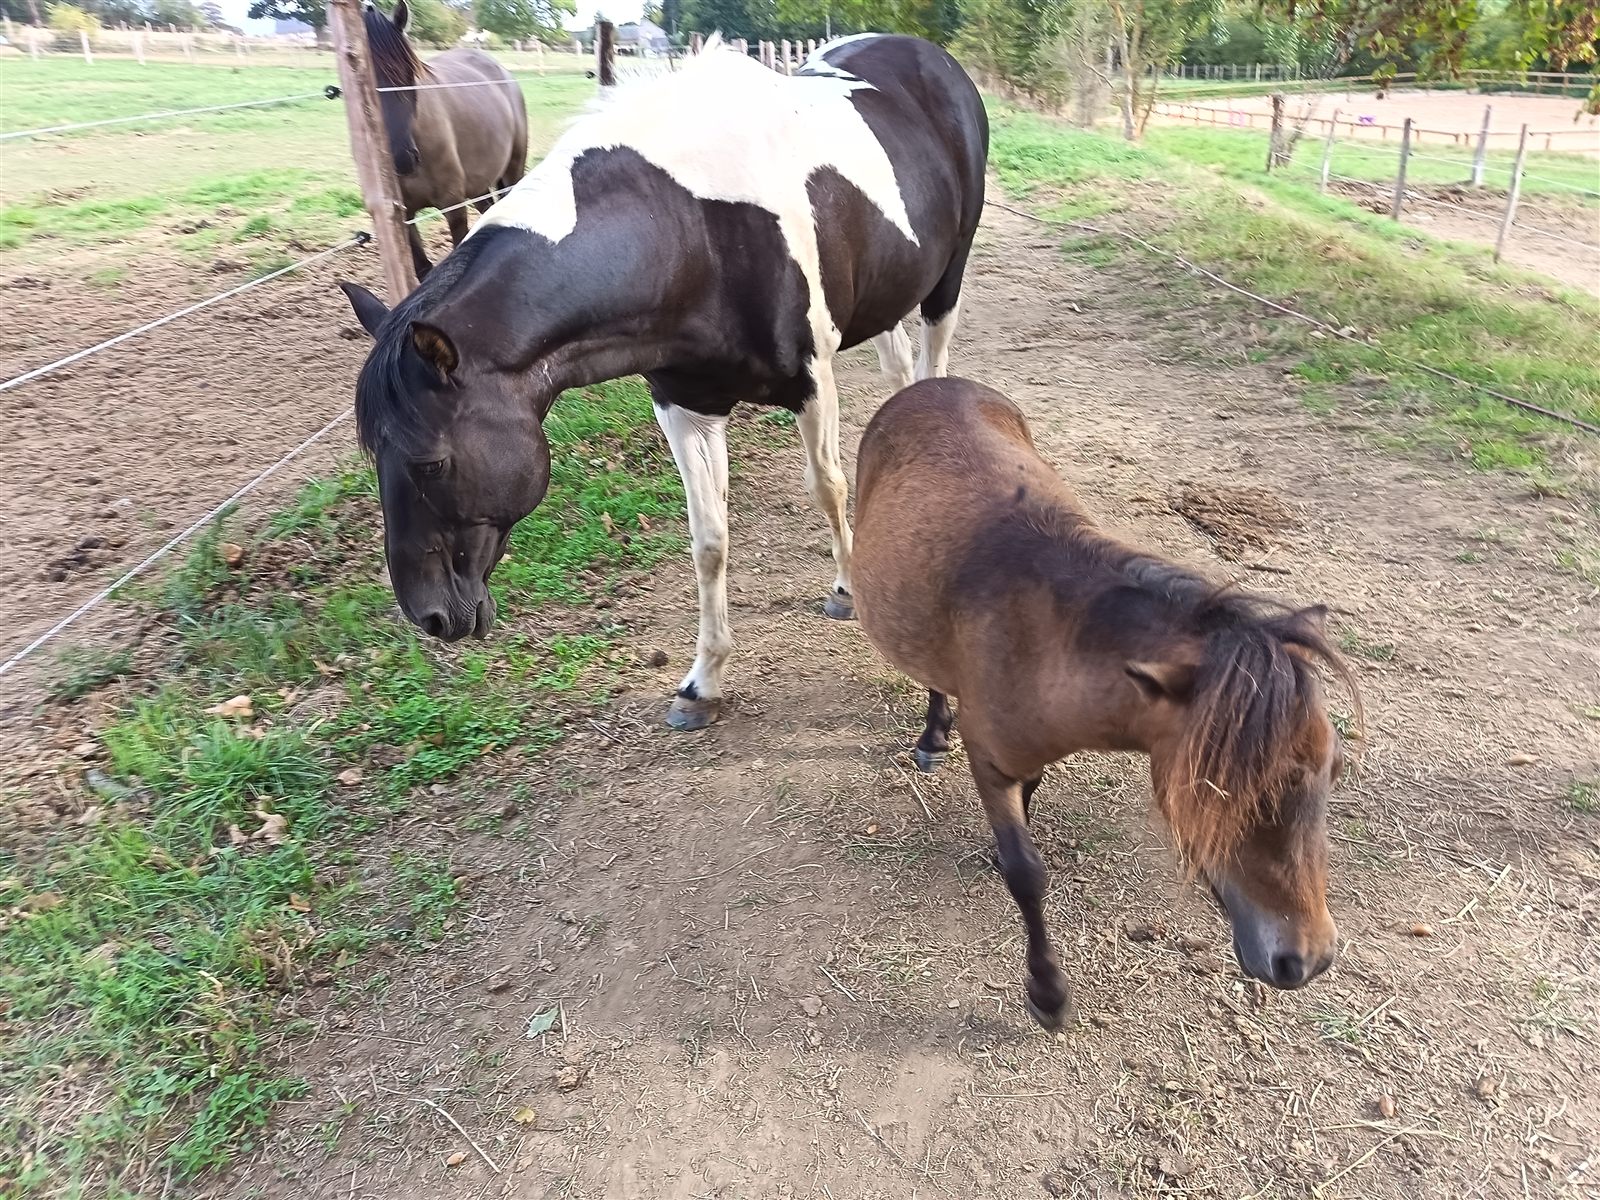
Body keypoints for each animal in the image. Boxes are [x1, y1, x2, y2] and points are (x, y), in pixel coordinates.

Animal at [337, 35, 989, 730]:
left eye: (431, 462)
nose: (429, 615)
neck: (696, 231)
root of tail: (931, 58)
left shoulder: (812, 379)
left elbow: (827, 488)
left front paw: (847, 591)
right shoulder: (685, 405)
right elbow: (709, 540)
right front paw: (703, 682)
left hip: (944, 283)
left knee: (931, 371)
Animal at [365, 0, 528, 280]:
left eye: (408, 77)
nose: (401, 158)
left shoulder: (453, 205)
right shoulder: (403, 216)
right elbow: (422, 269)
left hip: (511, 171)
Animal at [850, 378, 1358, 1030]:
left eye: (1334, 770)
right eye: (1221, 789)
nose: (1308, 959)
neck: (1044, 636)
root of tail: (931, 385)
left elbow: (1030, 799)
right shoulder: (989, 759)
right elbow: (1026, 874)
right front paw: (1047, 993)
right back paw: (932, 735)